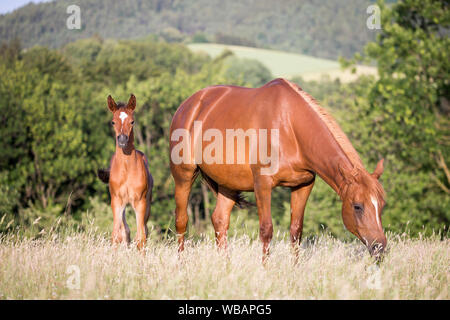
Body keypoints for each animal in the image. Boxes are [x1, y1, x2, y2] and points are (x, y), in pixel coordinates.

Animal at [96, 94, 153, 250]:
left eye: (132, 121)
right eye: (113, 122)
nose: (122, 139)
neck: (127, 170)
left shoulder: (140, 202)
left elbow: (141, 237)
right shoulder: (116, 201)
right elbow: (116, 235)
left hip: (147, 204)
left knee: (144, 230)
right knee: (125, 230)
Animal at [169, 77, 386, 260]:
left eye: (382, 206)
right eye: (357, 206)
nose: (380, 247)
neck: (290, 128)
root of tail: (190, 104)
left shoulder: (303, 186)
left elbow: (296, 232)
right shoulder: (263, 185)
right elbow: (266, 230)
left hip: (228, 183)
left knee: (220, 221)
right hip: (183, 175)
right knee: (181, 220)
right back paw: (182, 265)